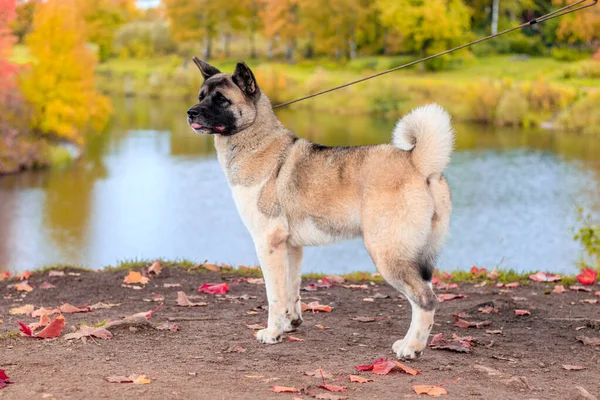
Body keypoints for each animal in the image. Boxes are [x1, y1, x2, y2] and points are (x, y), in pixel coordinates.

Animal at [185, 58, 452, 360]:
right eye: (201, 96)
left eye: (221, 100)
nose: (190, 113)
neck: (257, 142)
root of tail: (418, 162)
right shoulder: (291, 247)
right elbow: (292, 290)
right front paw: (290, 323)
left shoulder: (268, 243)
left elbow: (274, 295)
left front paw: (272, 333)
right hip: (417, 256)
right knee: (424, 295)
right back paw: (407, 343)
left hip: (387, 253)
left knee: (425, 300)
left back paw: (412, 348)